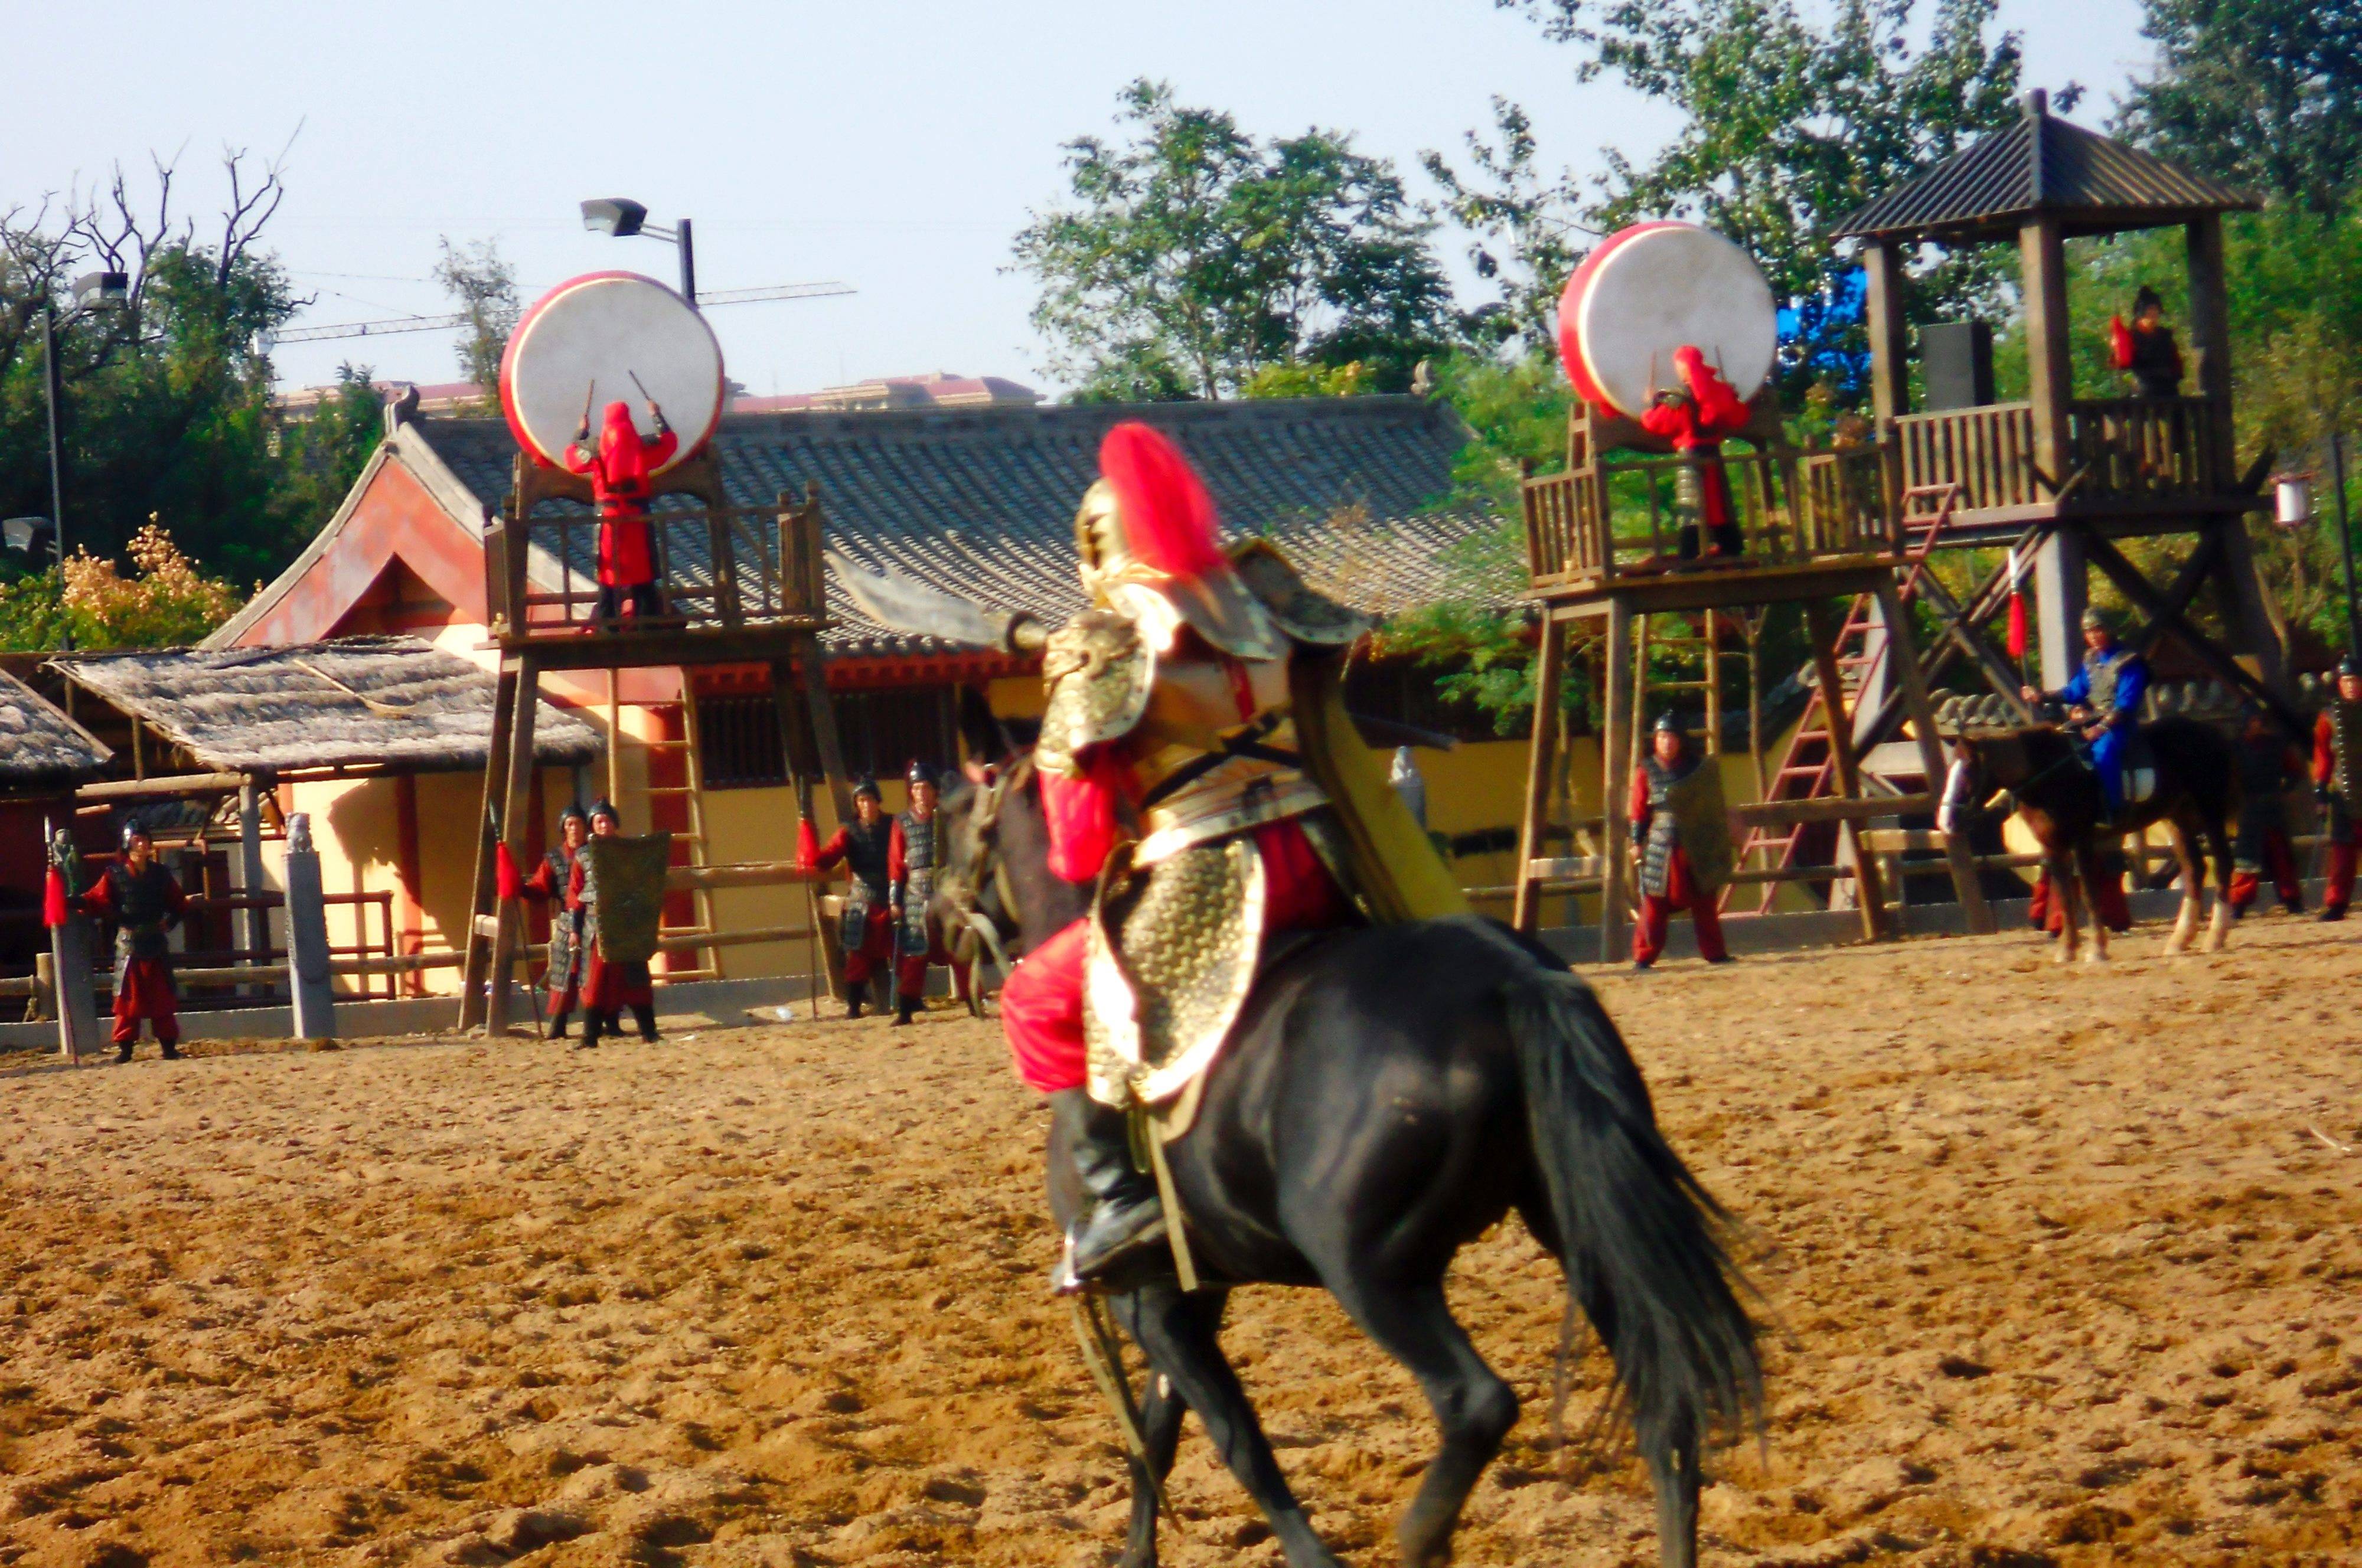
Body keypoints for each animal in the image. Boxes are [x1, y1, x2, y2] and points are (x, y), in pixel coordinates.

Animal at [935, 718, 1757, 1568]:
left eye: (956, 817)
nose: (936, 914)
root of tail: (1512, 981)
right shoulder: (1185, 1295)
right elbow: (1156, 1442)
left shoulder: (1146, 1301)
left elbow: (1236, 1442)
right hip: (1577, 1229)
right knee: (1663, 1403)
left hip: (1367, 1268)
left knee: (1477, 1402)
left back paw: (1421, 1534)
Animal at [1937, 718, 2230, 963]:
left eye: (1968, 772)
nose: (1946, 822)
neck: (2052, 776)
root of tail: (2211, 731)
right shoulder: (2053, 847)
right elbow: (2066, 896)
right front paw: (2067, 950)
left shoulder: (2081, 841)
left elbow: (2089, 893)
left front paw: (2097, 950)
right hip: (2177, 819)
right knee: (2195, 870)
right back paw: (2180, 941)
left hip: (2211, 813)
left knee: (2223, 866)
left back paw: (2215, 938)